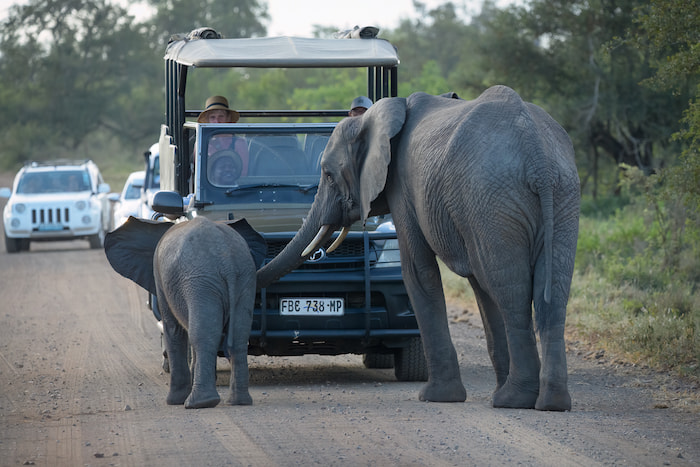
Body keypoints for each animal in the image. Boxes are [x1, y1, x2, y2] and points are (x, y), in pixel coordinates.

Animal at [104, 216, 267, 409]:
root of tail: (227, 261)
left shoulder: (160, 277)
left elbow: (173, 330)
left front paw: (173, 401)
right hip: (244, 278)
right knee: (239, 336)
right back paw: (238, 402)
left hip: (200, 282)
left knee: (202, 335)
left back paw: (199, 403)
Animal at [257, 86, 580, 411]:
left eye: (326, 174)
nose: (317, 257)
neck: (376, 117)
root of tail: (537, 156)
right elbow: (479, 289)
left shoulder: (403, 187)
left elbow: (418, 272)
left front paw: (435, 396)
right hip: (559, 195)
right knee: (549, 293)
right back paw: (550, 402)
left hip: (492, 199)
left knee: (509, 290)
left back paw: (513, 399)